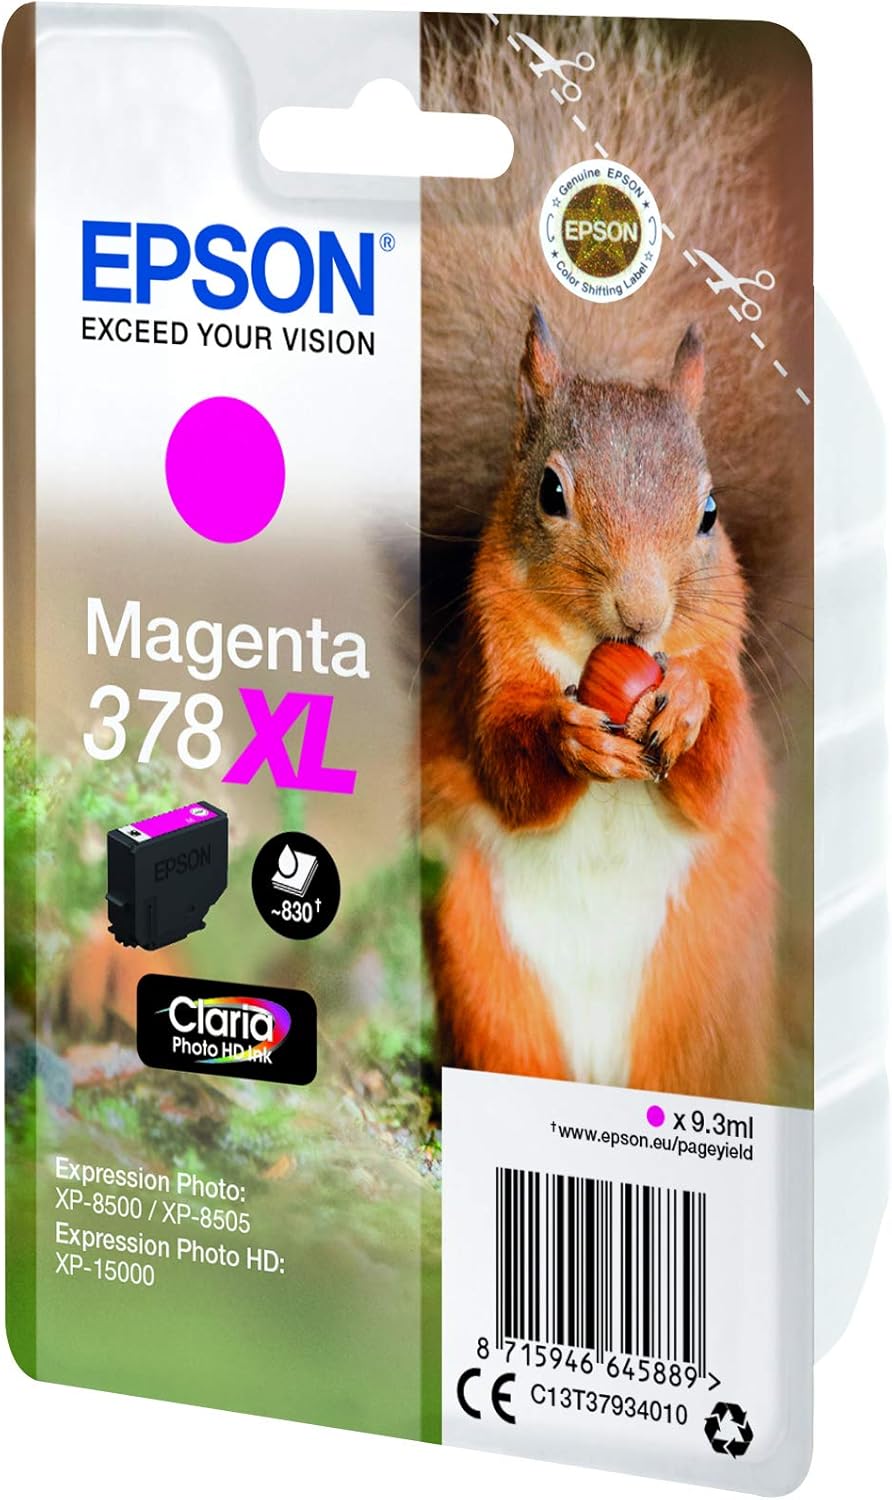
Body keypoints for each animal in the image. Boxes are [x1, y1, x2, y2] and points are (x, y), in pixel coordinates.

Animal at [419, 16, 811, 1100]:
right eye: (551, 493)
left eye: (710, 513)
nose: (642, 617)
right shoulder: (487, 664)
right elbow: (505, 762)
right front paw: (567, 739)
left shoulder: (723, 656)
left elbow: (717, 771)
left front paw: (684, 707)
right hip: (486, 977)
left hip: (698, 999)